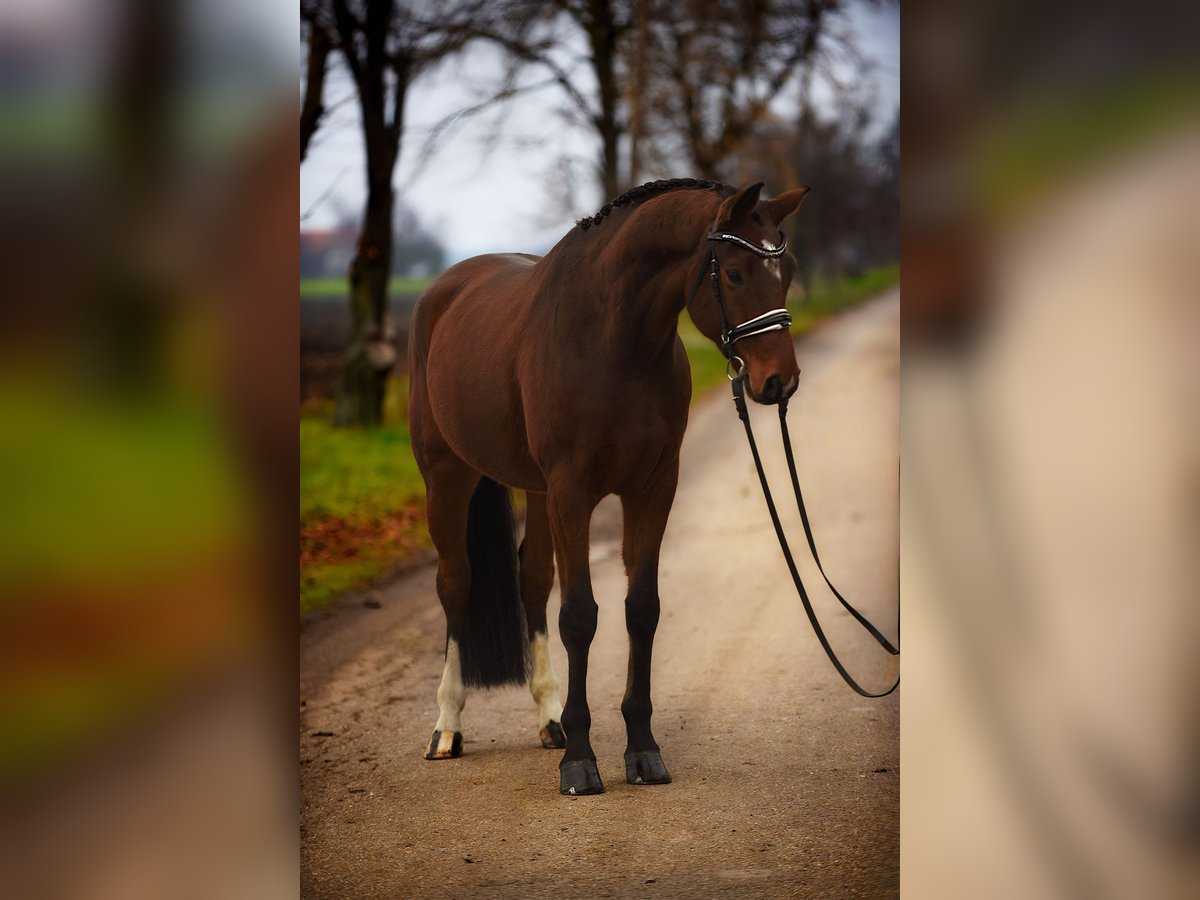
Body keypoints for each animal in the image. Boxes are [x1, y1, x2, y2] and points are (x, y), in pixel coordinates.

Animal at [408, 177, 811, 796]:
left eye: (785, 268)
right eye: (736, 273)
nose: (779, 382)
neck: (614, 339)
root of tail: (443, 290)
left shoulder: (653, 486)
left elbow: (640, 608)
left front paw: (642, 751)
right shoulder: (572, 490)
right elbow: (580, 615)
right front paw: (580, 760)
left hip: (536, 491)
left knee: (531, 579)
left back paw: (548, 719)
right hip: (446, 474)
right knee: (456, 585)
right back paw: (447, 727)